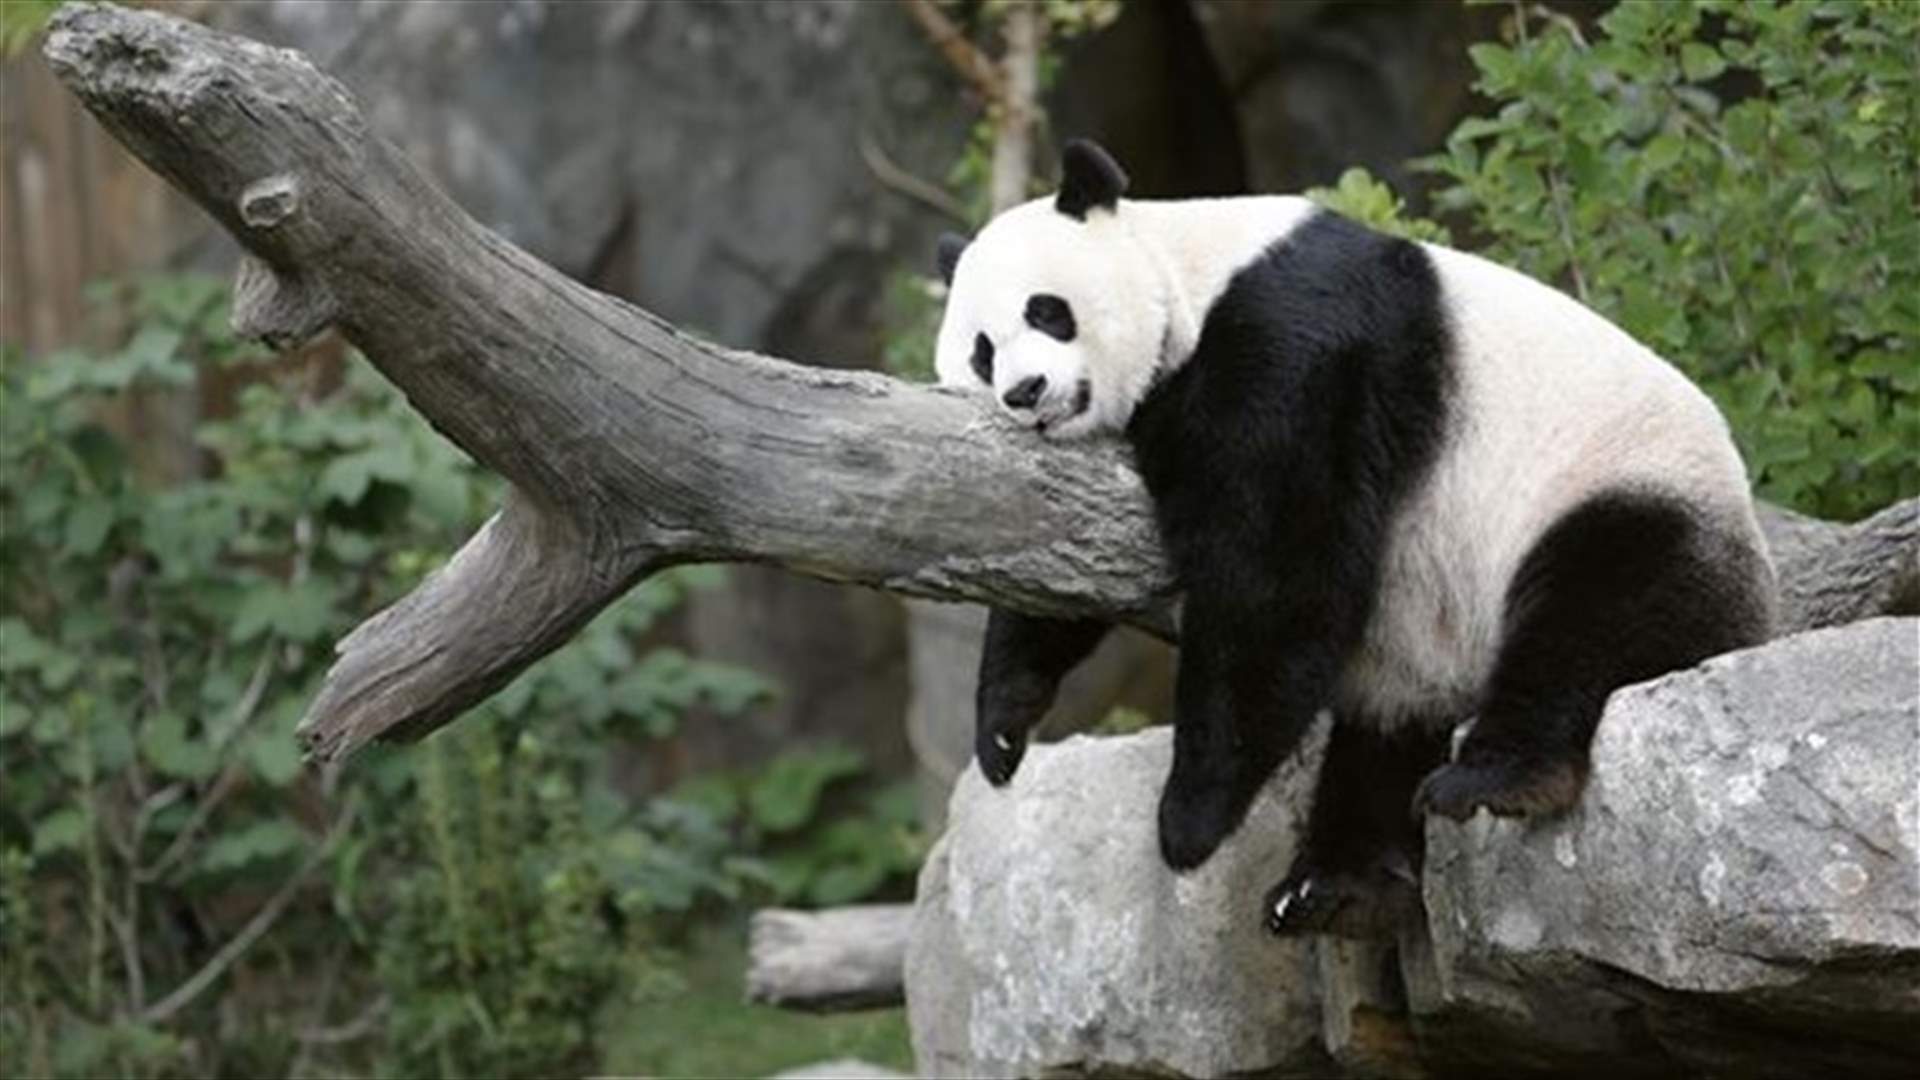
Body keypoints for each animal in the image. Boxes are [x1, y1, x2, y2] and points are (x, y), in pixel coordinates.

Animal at [934, 139, 1776, 938]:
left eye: (1047, 311)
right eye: (981, 349)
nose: (1025, 393)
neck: (1189, 273)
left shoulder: (1295, 344)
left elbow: (1276, 568)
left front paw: (1188, 821)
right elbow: (1062, 558)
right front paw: (1003, 730)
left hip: (1621, 490)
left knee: (1594, 614)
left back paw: (1493, 781)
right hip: (1424, 644)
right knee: (1387, 732)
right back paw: (1334, 884)